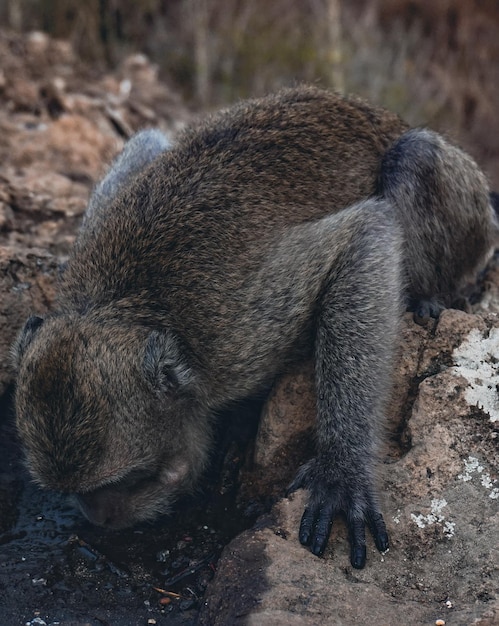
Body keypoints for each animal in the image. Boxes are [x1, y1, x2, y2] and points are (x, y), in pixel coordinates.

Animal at [12, 85, 499, 568]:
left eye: (127, 480)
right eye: (76, 493)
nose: (99, 518)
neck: (126, 307)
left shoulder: (235, 336)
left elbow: (366, 233)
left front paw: (341, 471)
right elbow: (147, 142)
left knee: (415, 155)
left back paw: (430, 294)